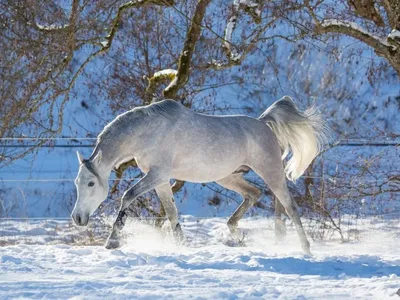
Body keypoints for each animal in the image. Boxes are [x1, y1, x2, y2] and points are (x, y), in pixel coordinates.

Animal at [72, 96, 328, 253]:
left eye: (91, 183)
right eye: (77, 182)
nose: (77, 218)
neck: (147, 132)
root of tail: (263, 123)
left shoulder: (157, 175)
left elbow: (128, 196)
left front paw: (112, 241)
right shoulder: (160, 180)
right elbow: (171, 213)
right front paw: (181, 245)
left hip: (270, 171)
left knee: (289, 205)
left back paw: (305, 247)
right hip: (227, 177)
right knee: (254, 194)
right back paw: (235, 232)